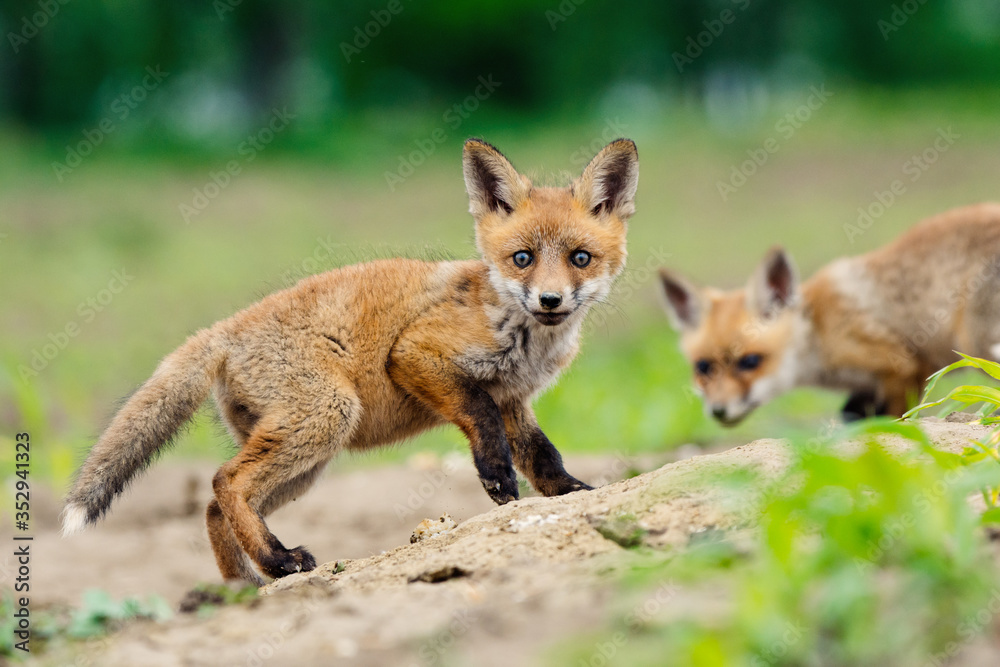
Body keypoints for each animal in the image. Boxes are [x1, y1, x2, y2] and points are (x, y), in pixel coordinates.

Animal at [62, 138, 639, 585]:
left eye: (580, 258)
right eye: (522, 258)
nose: (550, 301)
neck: (519, 333)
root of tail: (223, 329)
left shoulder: (514, 399)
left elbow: (544, 455)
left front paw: (573, 493)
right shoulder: (414, 356)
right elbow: (481, 419)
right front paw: (496, 477)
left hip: (306, 461)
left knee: (214, 507)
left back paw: (248, 584)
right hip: (327, 417)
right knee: (225, 482)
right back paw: (279, 560)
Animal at [658, 203, 1000, 425]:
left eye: (750, 362)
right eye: (703, 367)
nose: (718, 411)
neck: (818, 330)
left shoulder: (903, 366)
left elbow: (896, 417)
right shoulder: (865, 388)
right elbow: (851, 416)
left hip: (975, 342)